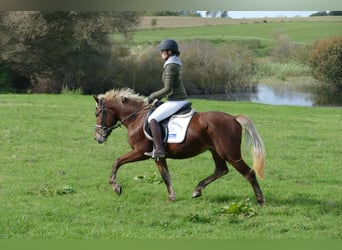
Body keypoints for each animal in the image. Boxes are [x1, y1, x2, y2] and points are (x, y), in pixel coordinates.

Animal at [94, 89, 268, 206]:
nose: (97, 137)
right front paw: (172, 197)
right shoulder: (158, 156)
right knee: (221, 170)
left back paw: (260, 201)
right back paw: (197, 190)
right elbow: (165, 176)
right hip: (216, 151)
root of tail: (233, 118)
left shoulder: (140, 152)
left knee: (249, 172)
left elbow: (117, 161)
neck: (137, 118)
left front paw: (116, 186)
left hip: (230, 153)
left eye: (97, 113)